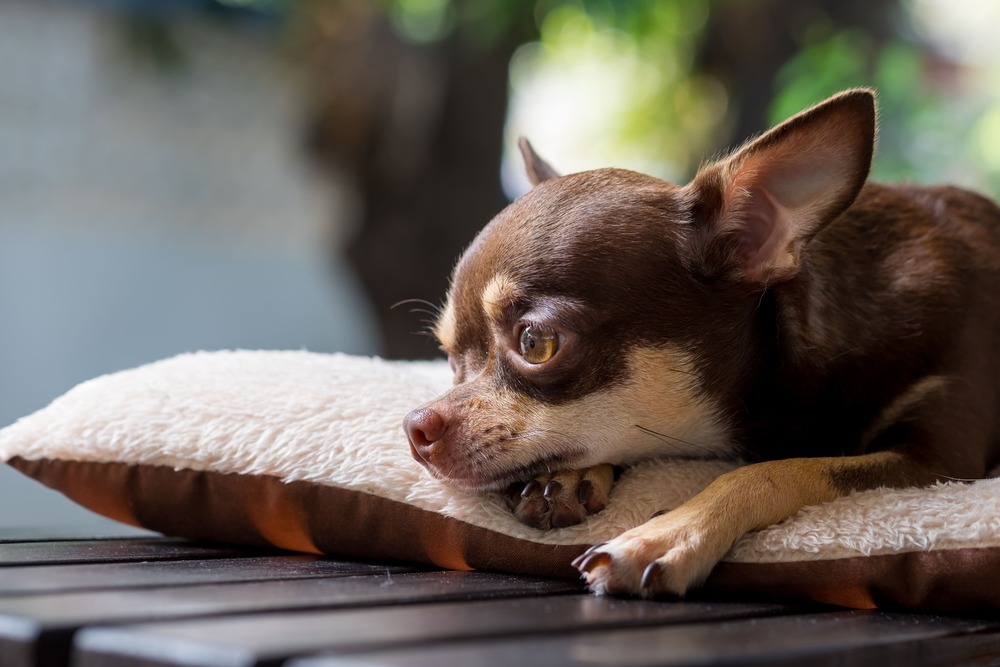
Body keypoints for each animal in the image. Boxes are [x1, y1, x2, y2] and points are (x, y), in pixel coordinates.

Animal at [402, 87, 1000, 596]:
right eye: (449, 357)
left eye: (536, 343)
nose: (415, 427)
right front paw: (566, 478)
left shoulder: (937, 460)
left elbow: (779, 469)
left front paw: (665, 534)